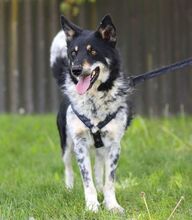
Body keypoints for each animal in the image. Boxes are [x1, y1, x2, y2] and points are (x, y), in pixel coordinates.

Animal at [50, 14, 133, 212]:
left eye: (93, 52)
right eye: (73, 53)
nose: (75, 70)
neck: (95, 102)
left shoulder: (114, 145)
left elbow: (109, 180)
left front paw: (112, 205)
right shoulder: (79, 144)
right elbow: (87, 181)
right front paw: (92, 206)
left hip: (101, 149)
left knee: (98, 169)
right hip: (66, 143)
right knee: (68, 167)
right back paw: (69, 189)